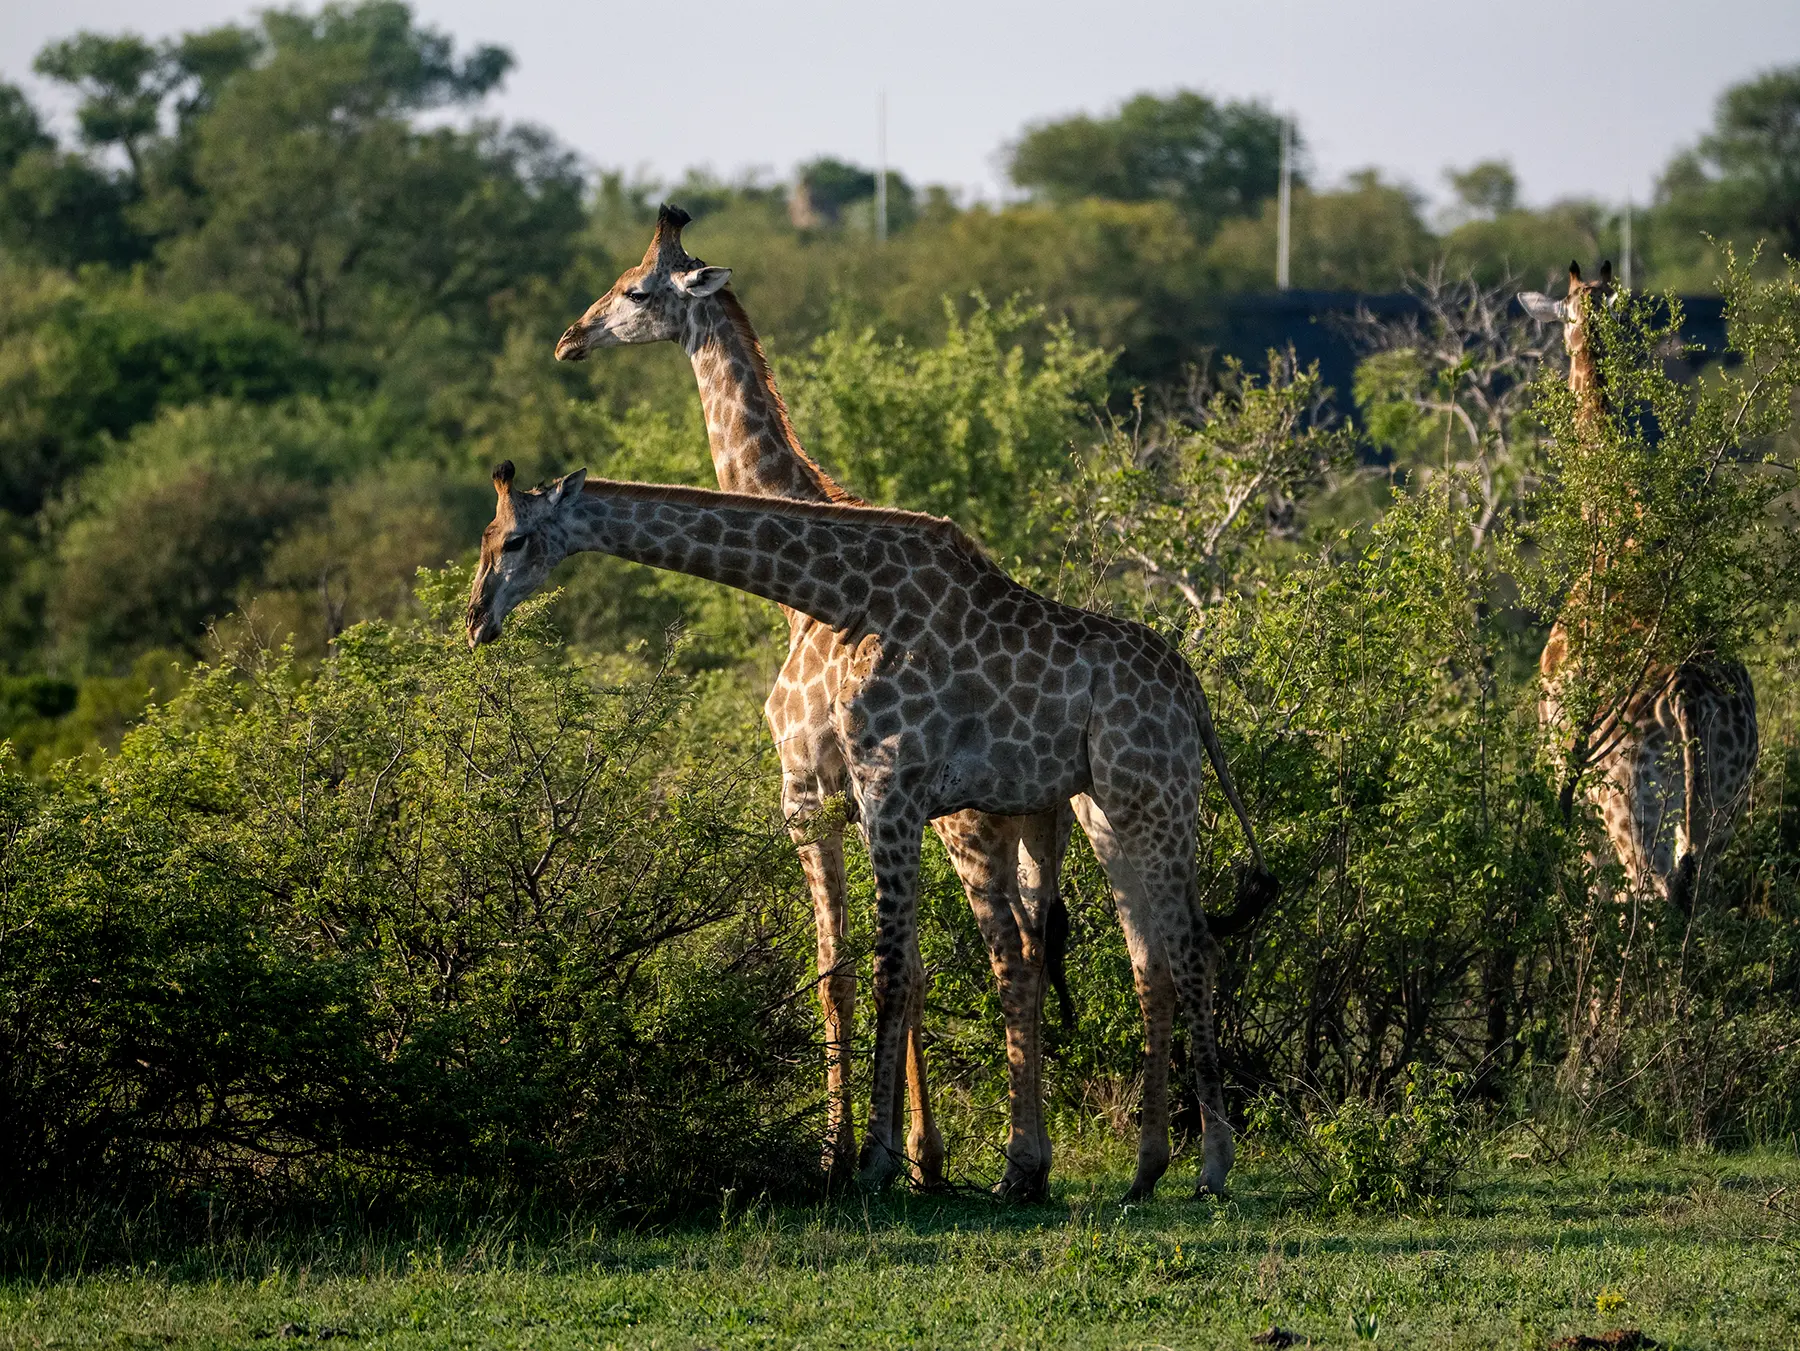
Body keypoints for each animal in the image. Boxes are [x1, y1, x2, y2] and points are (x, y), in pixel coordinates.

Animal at [467, 466, 1277, 1199]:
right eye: (487, 537)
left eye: (514, 539)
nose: (476, 620)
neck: (849, 594)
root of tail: (1193, 694)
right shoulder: (874, 796)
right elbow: (890, 968)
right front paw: (890, 1156)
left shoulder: (891, 786)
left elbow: (891, 971)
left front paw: (876, 1163)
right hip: (1109, 808)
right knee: (1152, 956)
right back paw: (1144, 1171)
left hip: (1154, 794)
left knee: (1192, 945)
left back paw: (1211, 1168)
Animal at [552, 204, 1071, 1196]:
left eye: (634, 289)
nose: (570, 338)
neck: (797, 597)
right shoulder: (859, 800)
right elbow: (902, 969)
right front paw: (920, 1156)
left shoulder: (807, 788)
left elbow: (840, 968)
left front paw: (843, 1151)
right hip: (1024, 829)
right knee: (1024, 949)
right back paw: (1020, 1160)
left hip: (971, 825)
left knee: (1007, 956)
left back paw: (1020, 1163)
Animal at [1519, 262, 1759, 911]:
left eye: (1562, 316)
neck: (1612, 514)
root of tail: (1688, 697)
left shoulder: (1564, 773)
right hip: (1723, 802)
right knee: (1693, 894)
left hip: (1627, 800)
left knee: (1646, 893)